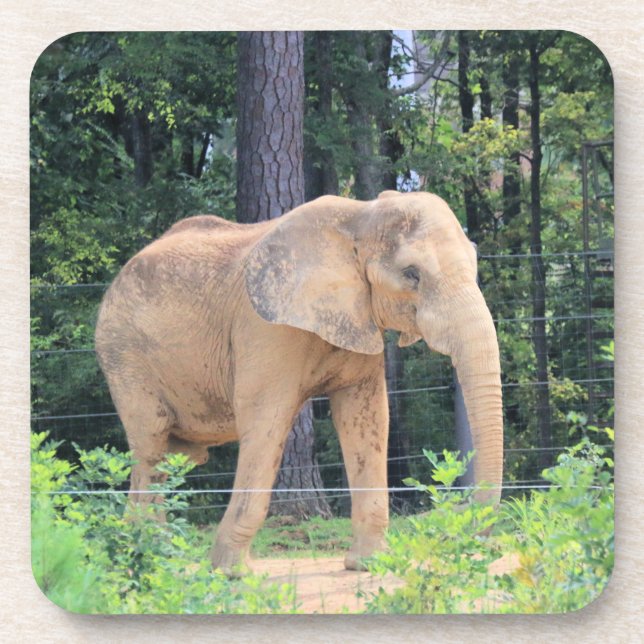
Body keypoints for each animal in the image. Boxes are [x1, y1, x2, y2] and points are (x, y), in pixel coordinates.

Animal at [95, 190, 503, 575]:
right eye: (412, 274)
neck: (361, 216)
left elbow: (367, 418)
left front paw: (368, 564)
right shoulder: (264, 328)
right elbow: (265, 421)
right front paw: (232, 573)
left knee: (169, 457)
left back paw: (158, 557)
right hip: (125, 356)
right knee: (151, 447)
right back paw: (144, 558)